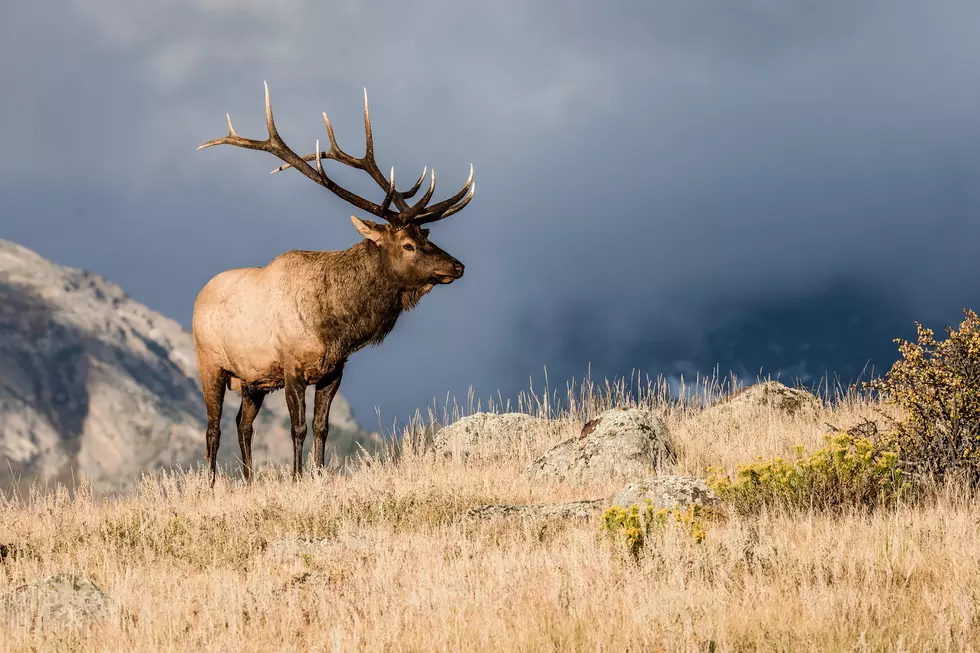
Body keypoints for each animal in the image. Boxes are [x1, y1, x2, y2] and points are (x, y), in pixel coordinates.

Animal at [192, 83, 474, 484]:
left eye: (427, 235)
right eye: (407, 244)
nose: (457, 266)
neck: (336, 325)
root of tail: (199, 295)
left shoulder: (333, 370)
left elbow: (322, 427)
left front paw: (319, 472)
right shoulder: (291, 366)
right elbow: (298, 427)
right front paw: (297, 477)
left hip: (252, 380)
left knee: (242, 424)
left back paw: (248, 481)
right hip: (210, 364)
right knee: (213, 428)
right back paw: (214, 484)